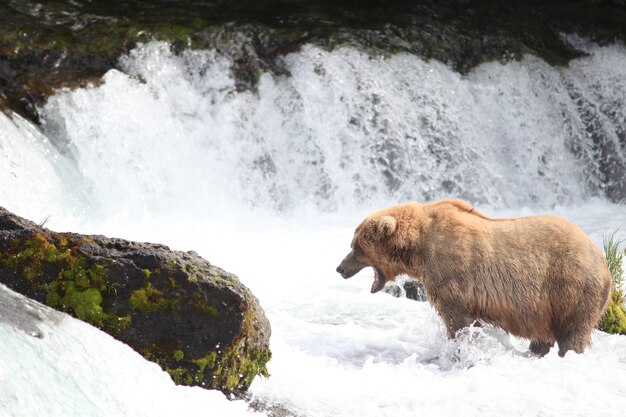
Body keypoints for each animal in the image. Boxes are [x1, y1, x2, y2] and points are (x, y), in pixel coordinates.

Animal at [334, 200, 612, 356]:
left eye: (356, 247)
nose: (340, 268)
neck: (418, 248)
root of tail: (602, 259)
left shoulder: (451, 272)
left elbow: (457, 319)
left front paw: (458, 351)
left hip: (570, 287)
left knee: (573, 332)